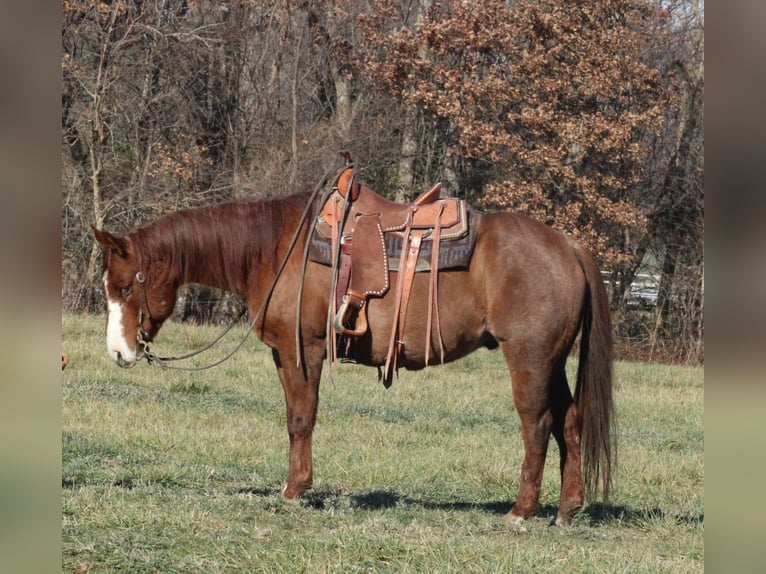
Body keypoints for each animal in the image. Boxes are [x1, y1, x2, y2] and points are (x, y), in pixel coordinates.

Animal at [92, 170, 615, 527]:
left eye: (124, 286)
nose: (118, 353)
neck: (275, 248)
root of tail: (568, 246)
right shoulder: (284, 354)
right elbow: (294, 418)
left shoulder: (303, 350)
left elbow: (301, 418)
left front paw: (295, 490)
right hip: (552, 361)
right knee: (569, 422)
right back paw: (566, 509)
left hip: (528, 359)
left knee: (538, 425)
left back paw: (521, 510)